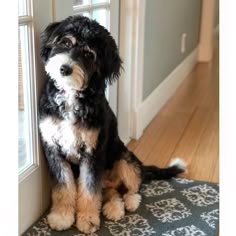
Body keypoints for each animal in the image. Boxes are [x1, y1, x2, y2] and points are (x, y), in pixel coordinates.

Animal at [39, 15, 186, 233]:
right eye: (65, 42)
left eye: (88, 53)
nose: (64, 69)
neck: (71, 97)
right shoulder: (53, 149)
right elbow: (63, 186)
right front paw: (62, 216)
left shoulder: (93, 151)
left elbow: (89, 190)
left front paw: (88, 220)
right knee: (110, 193)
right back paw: (114, 208)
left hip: (125, 158)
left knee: (134, 186)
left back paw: (129, 202)